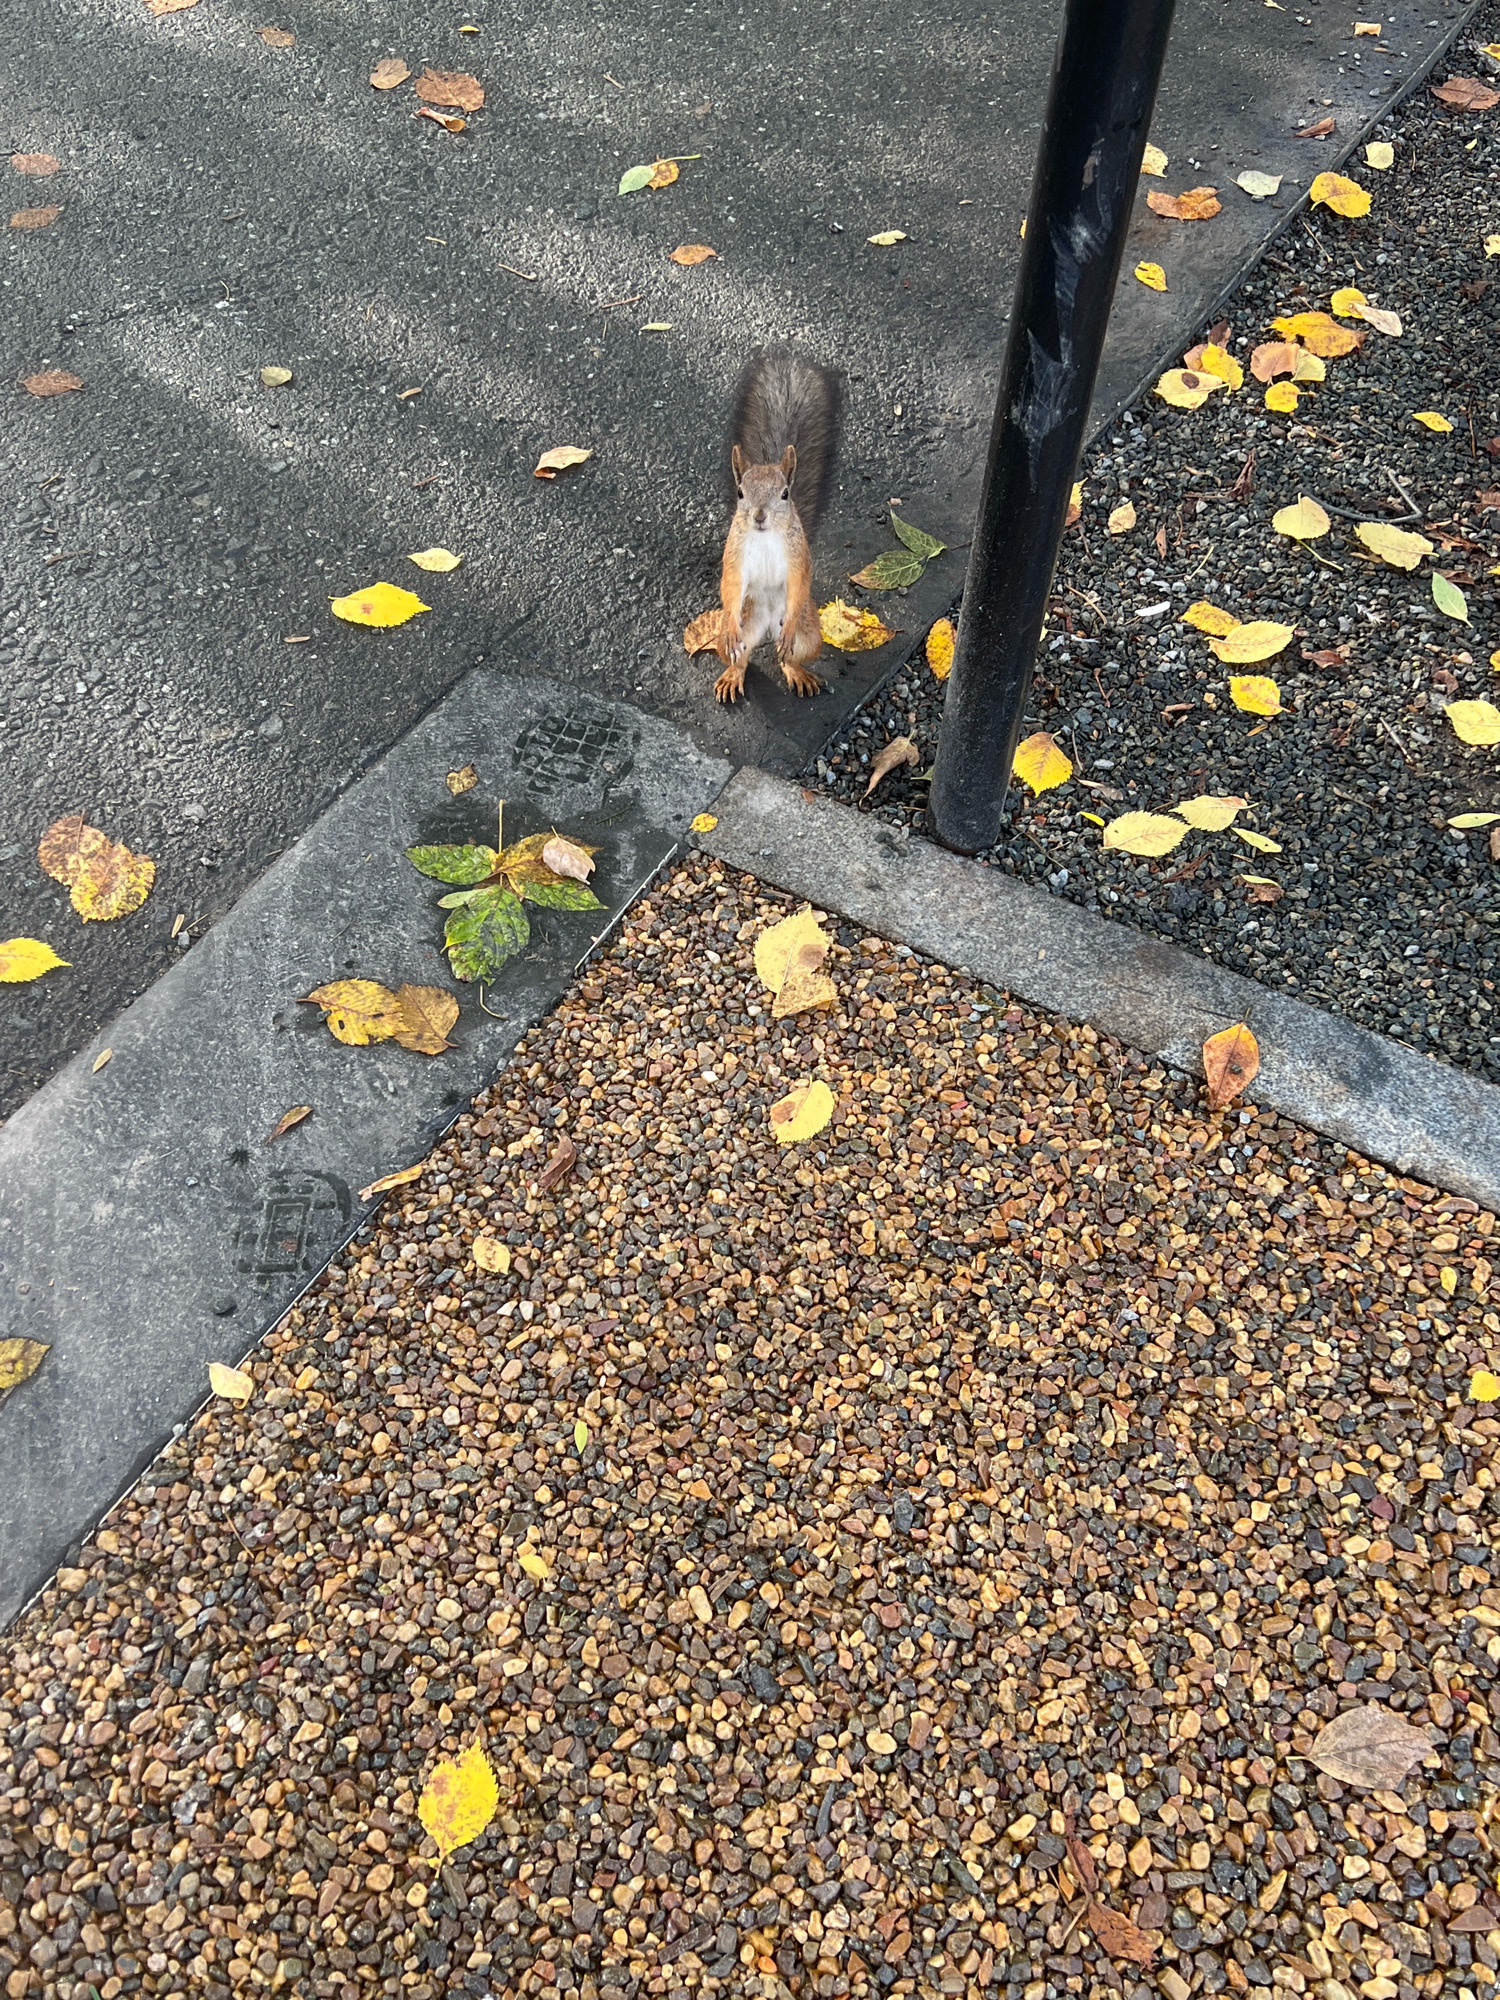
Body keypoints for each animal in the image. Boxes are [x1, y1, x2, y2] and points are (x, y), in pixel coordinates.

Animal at [713, 348, 842, 704]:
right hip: (738, 629)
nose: (759, 515)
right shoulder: (735, 554)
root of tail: (768, 626)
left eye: (785, 494)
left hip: (809, 635)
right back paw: (733, 673)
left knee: (787, 656)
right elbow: (731, 583)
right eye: (740, 492)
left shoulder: (798, 555)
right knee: (740, 656)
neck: (765, 537)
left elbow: (799, 581)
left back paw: (796, 669)